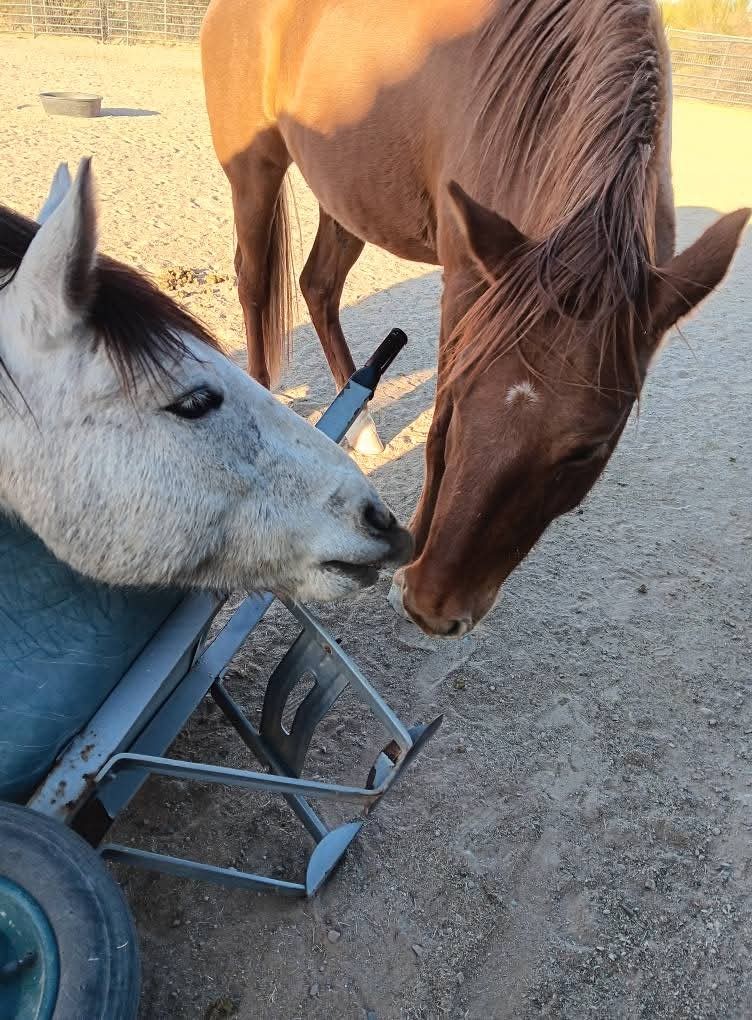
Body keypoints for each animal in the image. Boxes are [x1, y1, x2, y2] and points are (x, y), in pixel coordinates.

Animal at [202, 1, 746, 636]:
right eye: (463, 401)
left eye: (588, 449)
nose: (434, 608)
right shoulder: (466, 284)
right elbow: (437, 435)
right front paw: (409, 560)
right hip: (255, 169)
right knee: (254, 283)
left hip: (345, 191)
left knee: (318, 284)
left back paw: (360, 426)